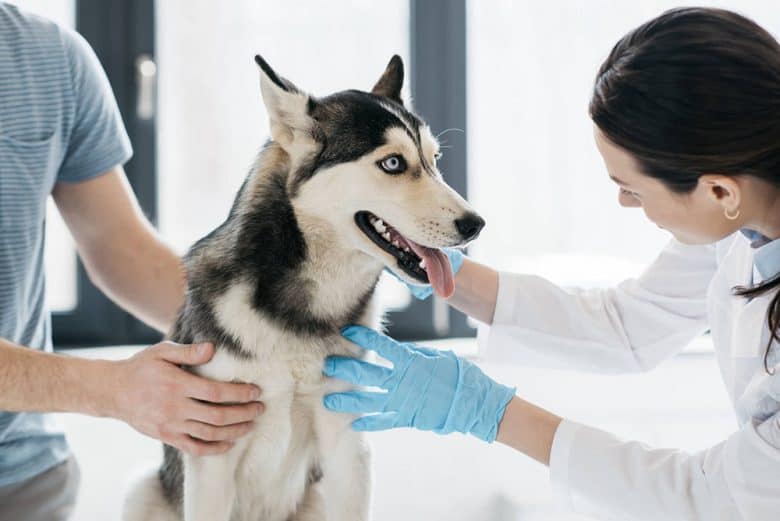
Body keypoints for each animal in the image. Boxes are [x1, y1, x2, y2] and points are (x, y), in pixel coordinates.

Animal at [123, 53, 482, 520]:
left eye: (433, 158)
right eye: (392, 163)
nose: (475, 224)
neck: (299, 313)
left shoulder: (347, 442)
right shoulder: (213, 448)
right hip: (142, 491)